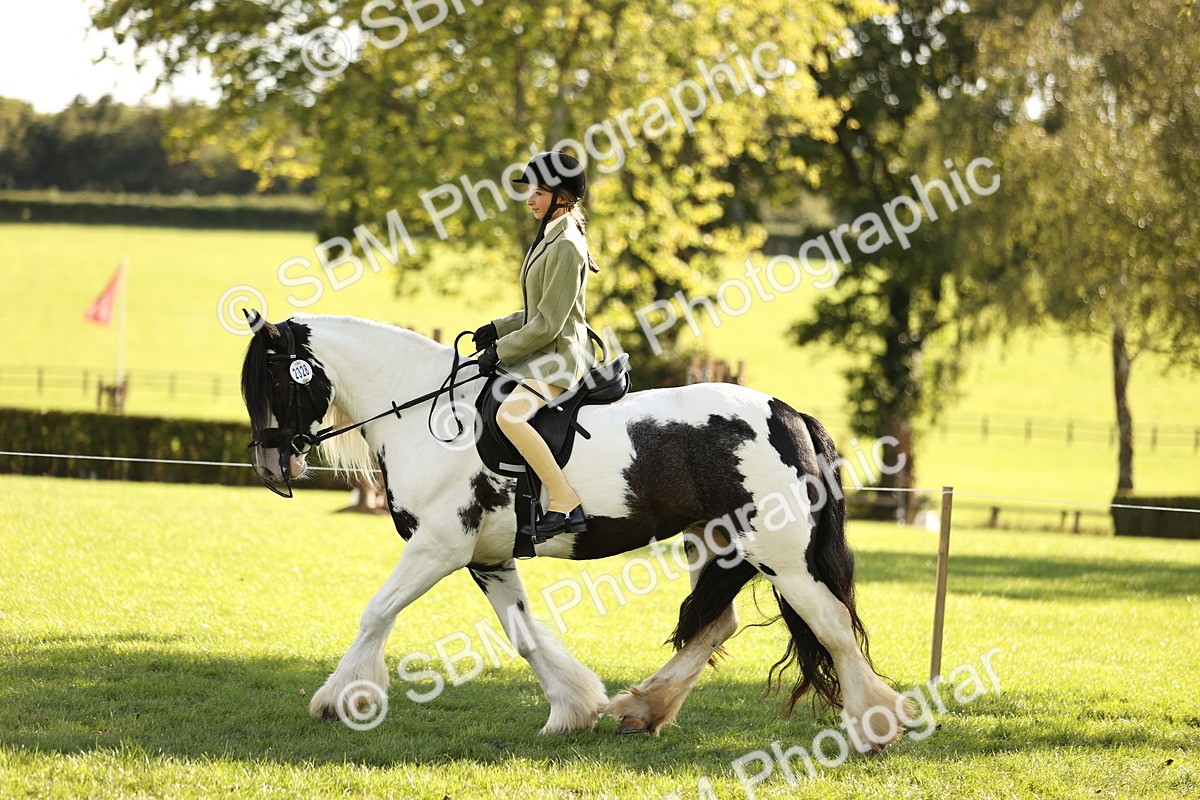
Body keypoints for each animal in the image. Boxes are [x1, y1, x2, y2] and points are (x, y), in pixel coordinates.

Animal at [239, 312, 914, 749]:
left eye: (273, 379)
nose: (271, 468)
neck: (428, 416)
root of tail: (788, 413)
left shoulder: (438, 548)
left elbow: (377, 611)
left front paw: (341, 698)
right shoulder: (488, 559)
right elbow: (523, 636)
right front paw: (573, 708)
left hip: (782, 556)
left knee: (832, 626)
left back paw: (875, 726)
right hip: (718, 545)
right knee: (716, 625)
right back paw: (641, 709)